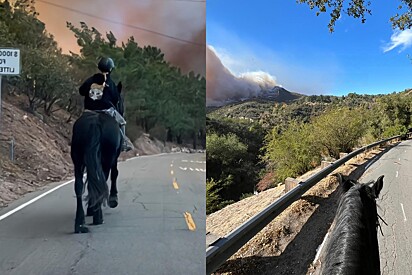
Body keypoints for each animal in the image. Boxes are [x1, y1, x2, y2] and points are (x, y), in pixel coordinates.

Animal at [70, 83, 124, 234]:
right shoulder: (114, 157)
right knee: (103, 179)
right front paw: (113, 199)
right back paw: (97, 216)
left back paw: (79, 223)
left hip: (77, 159)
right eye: (120, 100)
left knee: (79, 185)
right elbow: (114, 173)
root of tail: (95, 122)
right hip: (106, 158)